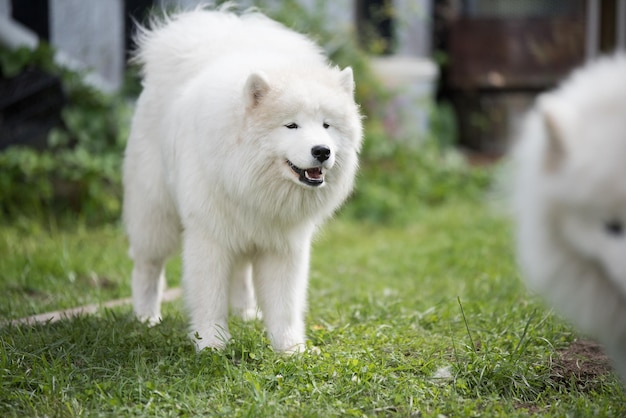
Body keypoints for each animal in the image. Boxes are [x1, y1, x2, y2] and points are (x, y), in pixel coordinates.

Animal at [122, 6, 360, 352]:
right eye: (291, 126)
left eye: (327, 125)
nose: (322, 151)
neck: (248, 178)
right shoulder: (210, 236)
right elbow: (209, 296)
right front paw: (212, 344)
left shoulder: (283, 245)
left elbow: (284, 303)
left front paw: (290, 349)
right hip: (156, 214)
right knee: (147, 266)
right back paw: (145, 317)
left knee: (242, 272)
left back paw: (245, 313)